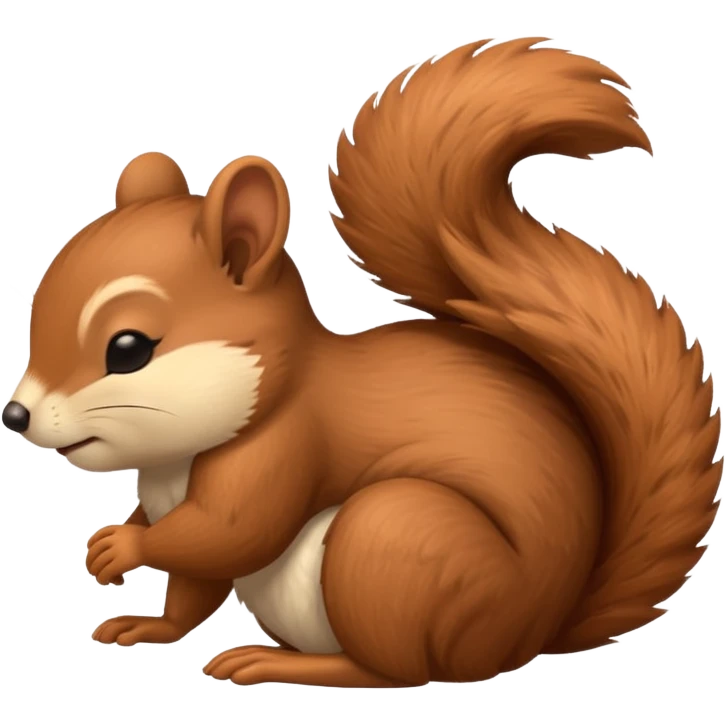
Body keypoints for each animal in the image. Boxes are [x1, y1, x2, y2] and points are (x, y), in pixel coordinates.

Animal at [2, 36, 721, 689]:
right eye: (35, 310)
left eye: (128, 349)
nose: (16, 415)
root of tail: (532, 633)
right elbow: (193, 588)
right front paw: (145, 616)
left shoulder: (284, 450)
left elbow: (229, 533)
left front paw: (123, 546)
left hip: (393, 542)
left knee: (391, 670)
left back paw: (283, 664)